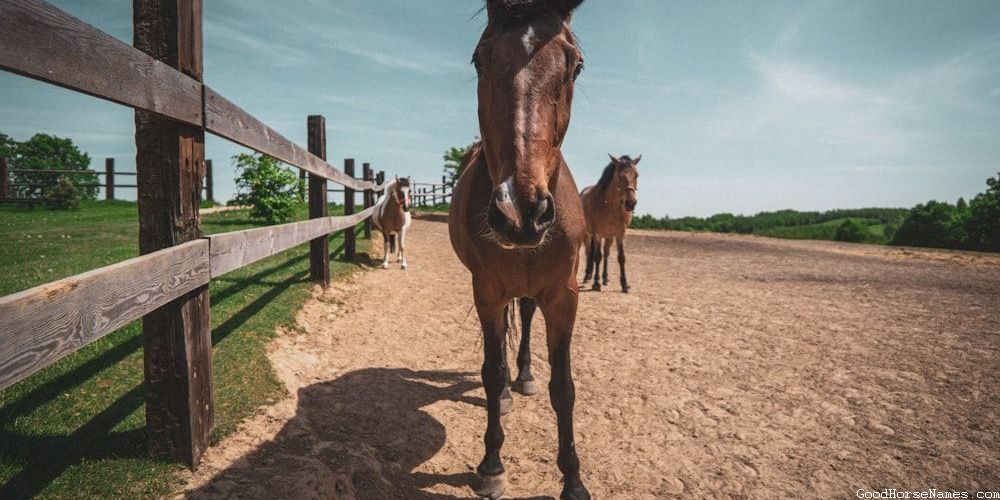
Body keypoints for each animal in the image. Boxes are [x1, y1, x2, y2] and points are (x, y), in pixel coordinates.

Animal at [448, 1, 589, 498]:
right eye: (479, 60)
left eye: (575, 66)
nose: (521, 210)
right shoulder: (486, 291)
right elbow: (491, 373)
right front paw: (491, 465)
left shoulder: (564, 295)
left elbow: (564, 387)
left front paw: (573, 479)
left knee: (525, 318)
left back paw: (523, 376)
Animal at [581, 154, 640, 292]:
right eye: (619, 176)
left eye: (636, 175)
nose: (630, 203)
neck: (609, 206)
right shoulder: (597, 234)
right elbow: (597, 256)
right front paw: (596, 283)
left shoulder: (620, 234)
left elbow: (621, 257)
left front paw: (625, 284)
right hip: (588, 235)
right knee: (589, 253)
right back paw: (587, 277)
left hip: (609, 237)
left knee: (606, 253)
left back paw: (605, 278)